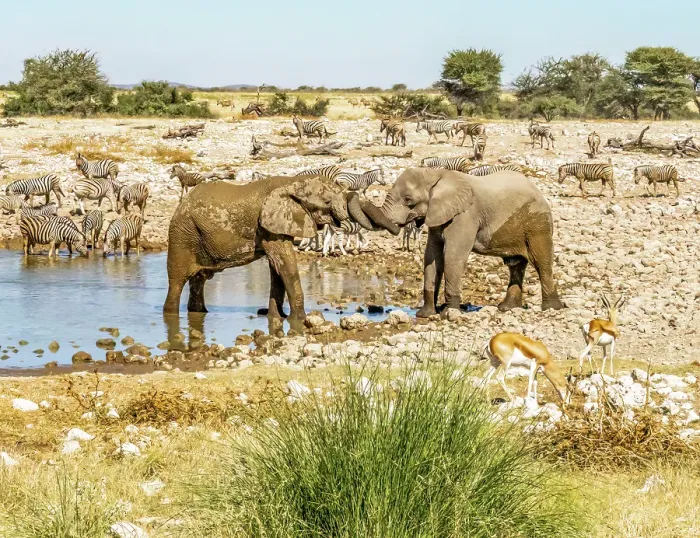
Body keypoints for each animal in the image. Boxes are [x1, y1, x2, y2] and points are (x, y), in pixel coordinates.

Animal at [163, 174, 388, 333]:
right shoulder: (269, 225)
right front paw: (300, 319)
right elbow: (286, 266)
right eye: (326, 202)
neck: (293, 182)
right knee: (177, 282)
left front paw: (278, 316)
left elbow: (276, 269)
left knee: (199, 279)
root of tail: (180, 206)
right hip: (181, 236)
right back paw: (171, 315)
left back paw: (200, 312)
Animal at [355, 168, 566, 317]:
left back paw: (552, 309)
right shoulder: (438, 215)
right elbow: (431, 257)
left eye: (408, 200)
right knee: (515, 264)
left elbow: (452, 256)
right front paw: (425, 314)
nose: (355, 195)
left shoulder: (465, 215)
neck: (435, 174)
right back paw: (507, 309)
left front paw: (449, 313)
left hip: (537, 223)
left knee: (541, 262)